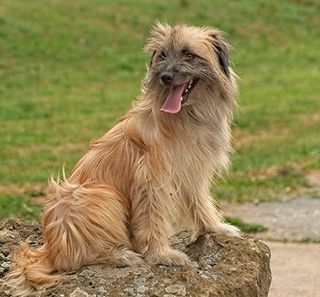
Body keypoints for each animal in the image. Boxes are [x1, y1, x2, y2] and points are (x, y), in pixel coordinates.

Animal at [3, 23, 240, 296]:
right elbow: (153, 217)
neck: (188, 115)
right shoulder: (151, 178)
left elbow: (200, 203)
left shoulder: (193, 171)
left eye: (189, 54)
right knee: (75, 259)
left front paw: (215, 228)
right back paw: (121, 255)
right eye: (162, 55)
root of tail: (50, 249)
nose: (165, 77)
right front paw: (162, 254)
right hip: (97, 195)